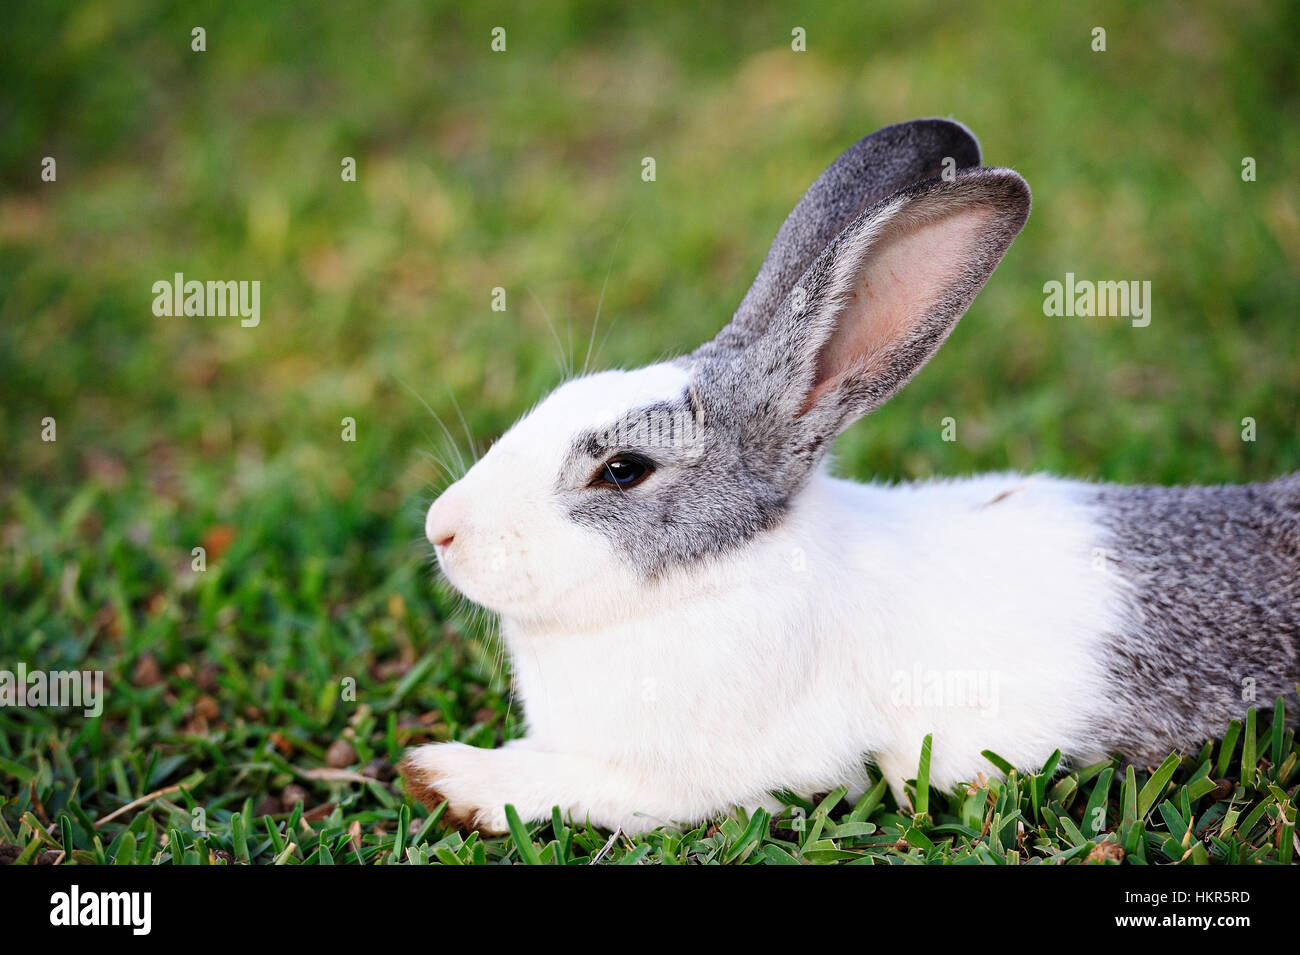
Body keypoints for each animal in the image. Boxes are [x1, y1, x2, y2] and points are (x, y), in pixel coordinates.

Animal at [401, 118, 1300, 835]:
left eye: (623, 470)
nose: (442, 527)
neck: (720, 573)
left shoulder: (711, 777)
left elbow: (585, 783)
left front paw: (445, 773)